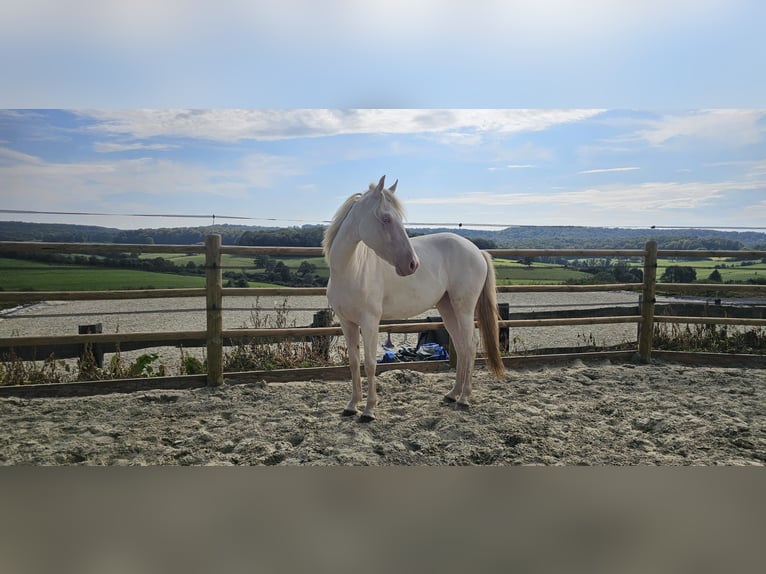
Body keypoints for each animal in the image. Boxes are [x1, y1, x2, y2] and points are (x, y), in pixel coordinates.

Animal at [322, 176, 508, 424]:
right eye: (386, 218)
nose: (412, 264)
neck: (351, 269)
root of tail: (477, 251)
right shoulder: (347, 323)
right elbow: (353, 363)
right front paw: (352, 406)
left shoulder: (370, 322)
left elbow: (370, 364)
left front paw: (369, 411)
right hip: (447, 308)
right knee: (460, 345)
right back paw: (452, 394)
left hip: (464, 308)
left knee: (470, 345)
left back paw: (464, 398)